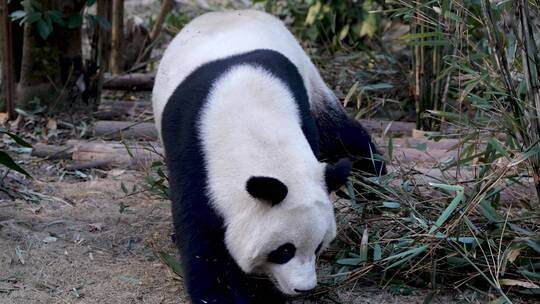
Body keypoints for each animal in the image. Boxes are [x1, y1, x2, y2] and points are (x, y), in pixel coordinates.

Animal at [152, 10, 384, 304]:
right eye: (284, 251)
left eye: (319, 246)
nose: (303, 289)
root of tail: (222, 12)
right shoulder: (194, 158)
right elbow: (203, 239)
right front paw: (224, 294)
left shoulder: (301, 116)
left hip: (311, 81)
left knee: (340, 136)